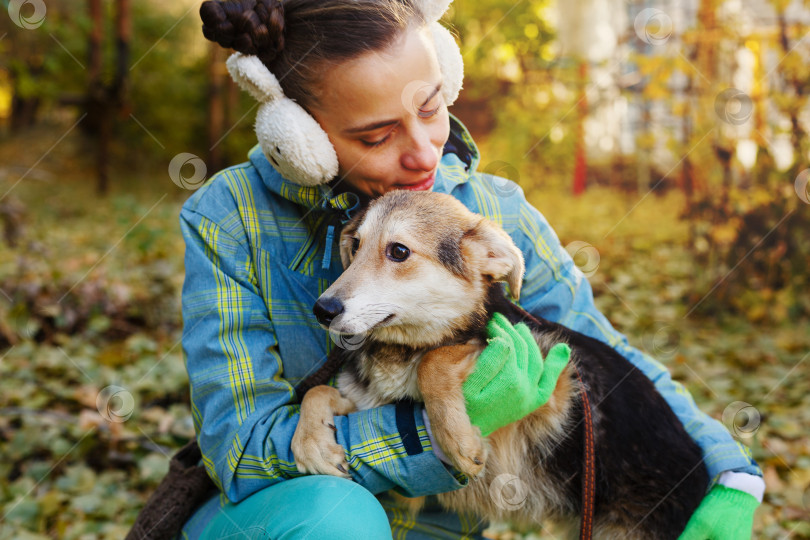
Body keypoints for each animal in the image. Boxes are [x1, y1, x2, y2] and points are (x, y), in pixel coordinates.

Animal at [290, 189, 708, 536]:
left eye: (399, 252)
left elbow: (435, 361)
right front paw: (312, 443)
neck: (401, 352)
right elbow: (319, 392)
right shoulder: (370, 409)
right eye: (356, 245)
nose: (322, 310)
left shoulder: (550, 378)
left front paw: (456, 438)